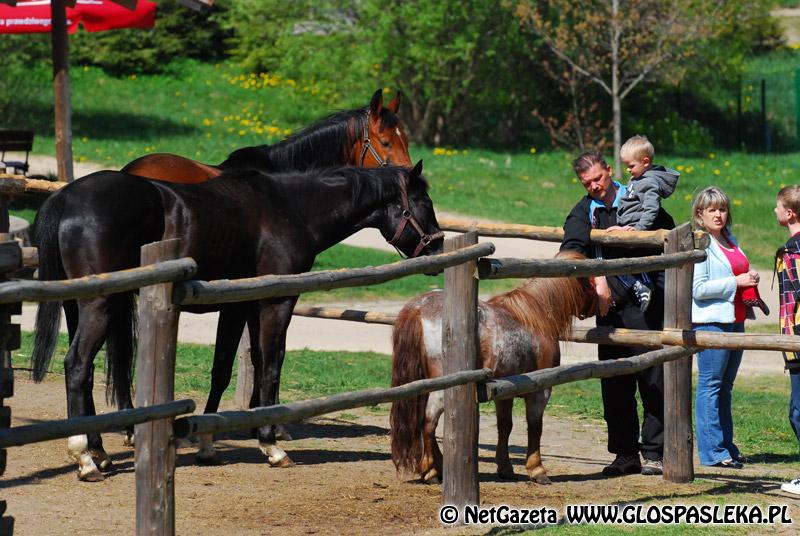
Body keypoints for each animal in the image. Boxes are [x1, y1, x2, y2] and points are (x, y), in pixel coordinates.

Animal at [31, 162, 444, 482]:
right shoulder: (276, 302)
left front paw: (210, 441)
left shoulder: (239, 304)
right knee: (77, 365)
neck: (291, 207)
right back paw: (85, 459)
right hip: (98, 304)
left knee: (84, 371)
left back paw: (99, 452)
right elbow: (271, 365)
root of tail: (65, 197)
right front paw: (271, 444)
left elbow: (227, 368)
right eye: (423, 203)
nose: (439, 247)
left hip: (79, 304)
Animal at [388, 252, 592, 486]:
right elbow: (535, 427)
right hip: (440, 389)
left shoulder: (504, 393)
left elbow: (505, 426)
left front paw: (505, 468)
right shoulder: (541, 391)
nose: (607, 302)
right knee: (428, 423)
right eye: (591, 281)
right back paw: (430, 472)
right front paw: (537, 470)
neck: (535, 318)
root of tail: (418, 308)